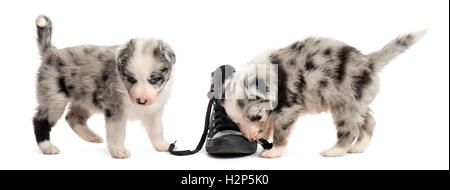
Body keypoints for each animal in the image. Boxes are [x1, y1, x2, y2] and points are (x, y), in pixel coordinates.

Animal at [31, 14, 175, 158]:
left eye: (154, 80)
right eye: (131, 79)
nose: (141, 101)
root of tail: (51, 52)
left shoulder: (154, 110)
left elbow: (157, 129)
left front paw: (162, 145)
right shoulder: (115, 108)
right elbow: (117, 132)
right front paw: (119, 150)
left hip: (85, 97)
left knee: (72, 117)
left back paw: (91, 136)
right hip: (54, 97)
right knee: (40, 120)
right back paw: (48, 147)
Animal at [221, 30, 426, 157]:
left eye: (255, 117)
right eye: (236, 122)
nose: (251, 139)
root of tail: (368, 62)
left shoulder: (287, 109)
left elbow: (281, 132)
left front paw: (273, 152)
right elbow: (271, 123)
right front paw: (264, 133)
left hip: (344, 106)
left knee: (349, 130)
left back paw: (333, 151)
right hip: (357, 102)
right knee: (369, 121)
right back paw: (358, 147)